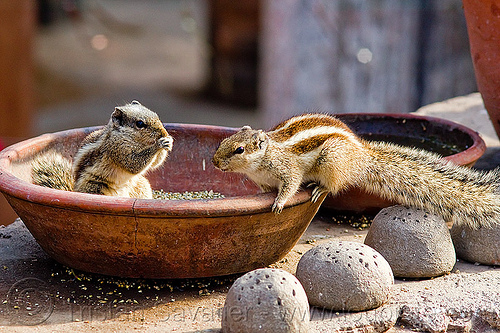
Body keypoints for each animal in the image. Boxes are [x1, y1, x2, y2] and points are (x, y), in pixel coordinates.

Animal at [31, 101, 173, 198]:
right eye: (140, 124)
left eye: (156, 115)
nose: (164, 133)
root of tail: (75, 190)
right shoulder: (116, 148)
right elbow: (133, 164)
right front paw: (158, 144)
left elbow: (154, 164)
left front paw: (169, 141)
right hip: (96, 188)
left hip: (141, 185)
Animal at [213, 112, 500, 228]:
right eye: (223, 143)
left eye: (239, 149)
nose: (215, 162)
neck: (262, 160)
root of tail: (362, 155)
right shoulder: (262, 181)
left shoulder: (288, 170)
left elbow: (291, 185)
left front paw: (279, 203)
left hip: (332, 160)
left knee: (333, 185)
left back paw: (320, 189)